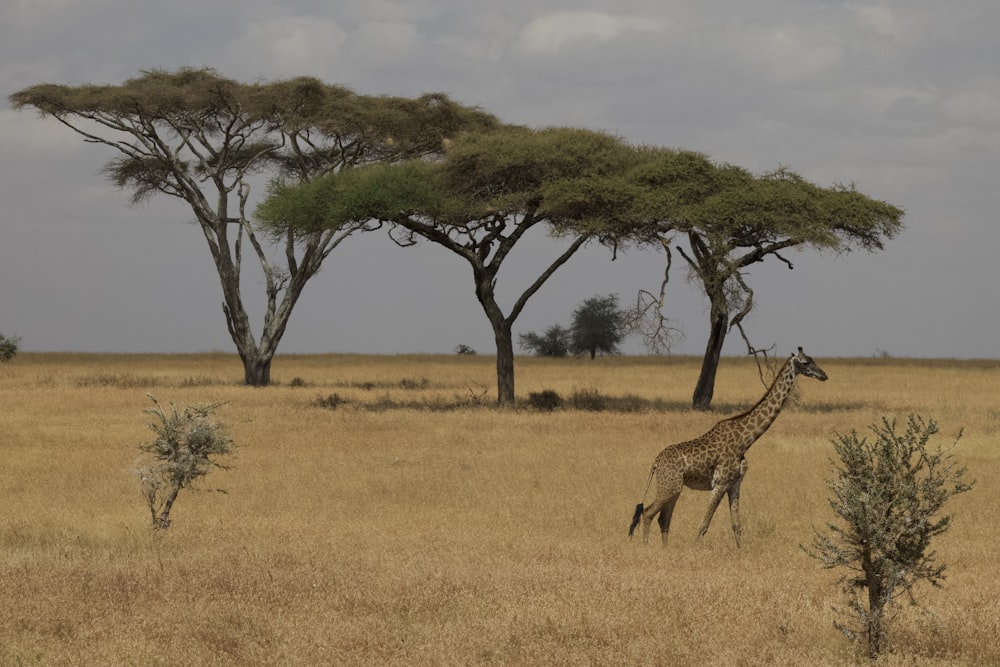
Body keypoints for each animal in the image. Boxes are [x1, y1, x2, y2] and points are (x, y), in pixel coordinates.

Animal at [624, 350, 828, 548]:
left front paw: (741, 553)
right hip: (669, 486)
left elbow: (737, 525)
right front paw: (694, 549)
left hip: (675, 487)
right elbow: (704, 523)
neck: (745, 440)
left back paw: (664, 550)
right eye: (805, 362)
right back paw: (646, 547)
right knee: (648, 512)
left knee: (663, 519)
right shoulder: (720, 482)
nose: (824, 375)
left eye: (813, 359)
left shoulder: (735, 483)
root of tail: (656, 462)